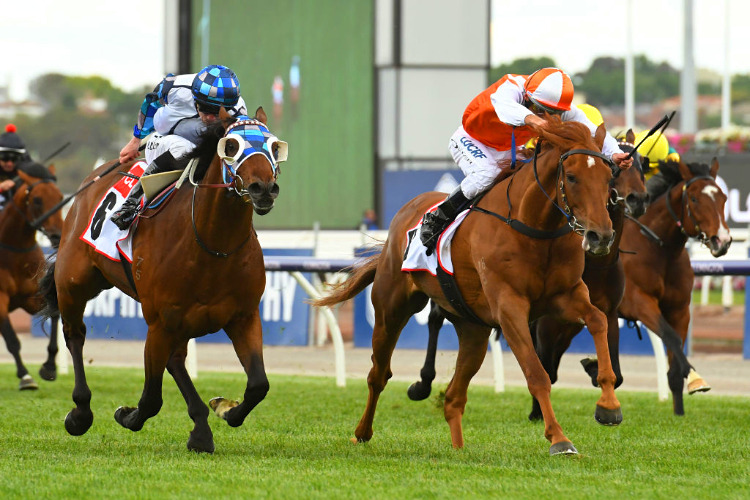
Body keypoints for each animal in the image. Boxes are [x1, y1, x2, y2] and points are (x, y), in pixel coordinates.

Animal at [0, 164, 62, 390]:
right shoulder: (0, 300)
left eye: (60, 197)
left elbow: (54, 313)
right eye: (37, 200)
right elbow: (12, 340)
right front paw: (25, 376)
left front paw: (50, 366)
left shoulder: (32, 297)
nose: (57, 236)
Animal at [38, 108, 286, 454]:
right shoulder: (159, 323)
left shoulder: (243, 317)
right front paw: (127, 415)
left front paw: (225, 409)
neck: (212, 245)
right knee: (75, 335)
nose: (263, 188)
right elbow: (152, 398)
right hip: (73, 283)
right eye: (231, 146)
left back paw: (201, 428)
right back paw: (80, 412)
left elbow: (258, 385)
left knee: (177, 360)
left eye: (275, 146)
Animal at [314, 117, 624, 458]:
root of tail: (404, 214)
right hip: (390, 309)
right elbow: (536, 373)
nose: (601, 236)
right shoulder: (509, 308)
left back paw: (459, 449)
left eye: (608, 178)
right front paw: (558, 438)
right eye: (571, 177)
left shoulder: (566, 296)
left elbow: (598, 320)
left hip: (472, 329)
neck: (533, 227)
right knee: (379, 375)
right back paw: (362, 432)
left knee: (453, 397)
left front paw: (608, 405)